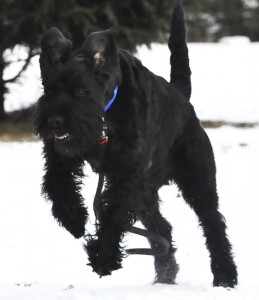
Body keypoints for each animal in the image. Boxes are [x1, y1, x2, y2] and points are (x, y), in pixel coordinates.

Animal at [35, 3, 239, 288]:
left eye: (81, 91)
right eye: (49, 90)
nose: (54, 120)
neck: (106, 119)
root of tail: (183, 98)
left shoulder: (127, 177)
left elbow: (114, 214)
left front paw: (103, 257)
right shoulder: (62, 158)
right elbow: (56, 182)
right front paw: (73, 218)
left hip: (198, 182)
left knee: (213, 224)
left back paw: (224, 275)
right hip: (147, 194)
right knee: (162, 229)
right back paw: (165, 275)